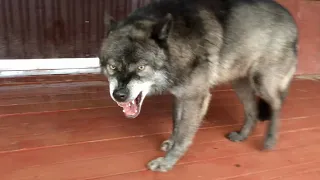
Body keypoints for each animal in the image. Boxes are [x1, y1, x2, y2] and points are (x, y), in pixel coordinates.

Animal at [99, 0, 298, 172]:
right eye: (113, 66)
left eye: (141, 67)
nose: (119, 95)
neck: (177, 43)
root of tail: (292, 20)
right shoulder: (181, 96)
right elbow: (176, 124)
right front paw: (170, 144)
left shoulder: (195, 98)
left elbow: (184, 134)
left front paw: (167, 162)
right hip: (240, 85)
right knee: (253, 111)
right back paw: (242, 136)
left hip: (262, 83)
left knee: (276, 104)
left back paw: (270, 140)